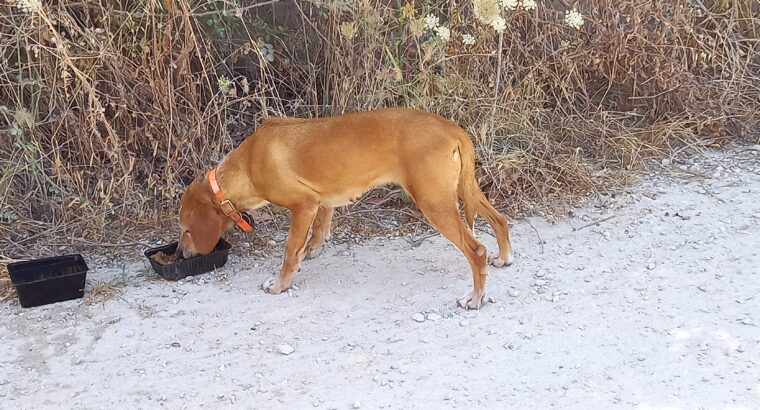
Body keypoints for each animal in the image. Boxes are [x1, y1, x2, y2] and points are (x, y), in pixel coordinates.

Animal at [177, 107, 510, 310]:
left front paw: (280, 284)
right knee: (500, 218)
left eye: (185, 229)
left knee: (476, 250)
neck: (246, 164)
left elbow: (289, 250)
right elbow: (316, 233)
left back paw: (476, 298)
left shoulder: (303, 205)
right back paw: (504, 257)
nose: (180, 253)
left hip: (434, 202)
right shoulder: (322, 201)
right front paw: (309, 252)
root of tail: (452, 128)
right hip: (462, 190)